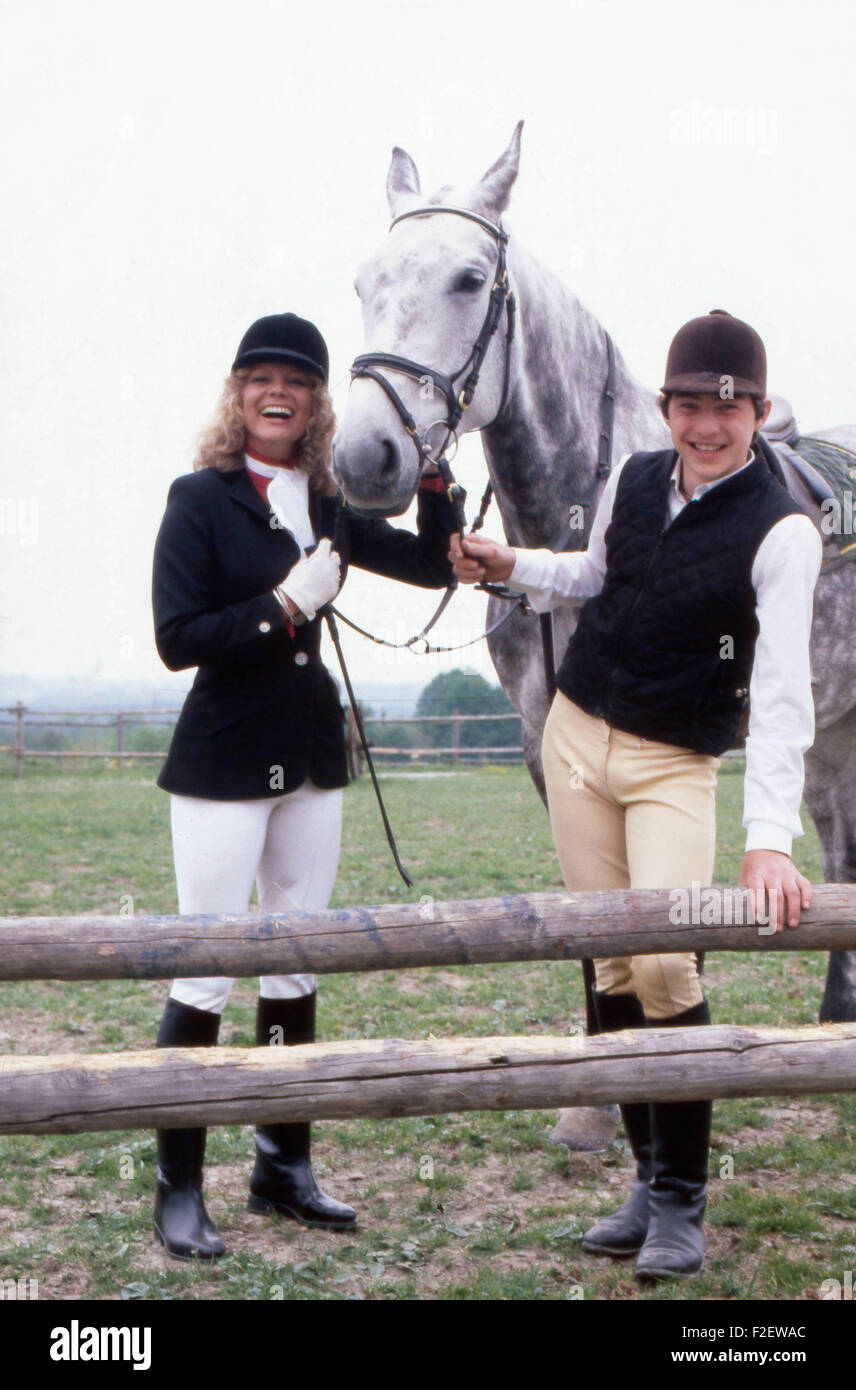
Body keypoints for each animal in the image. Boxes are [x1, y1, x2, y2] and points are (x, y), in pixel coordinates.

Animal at [332, 122, 856, 1034]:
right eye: (366, 282)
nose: (366, 455)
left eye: (469, 279)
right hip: (830, 728)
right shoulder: (547, 746)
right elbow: (590, 921)